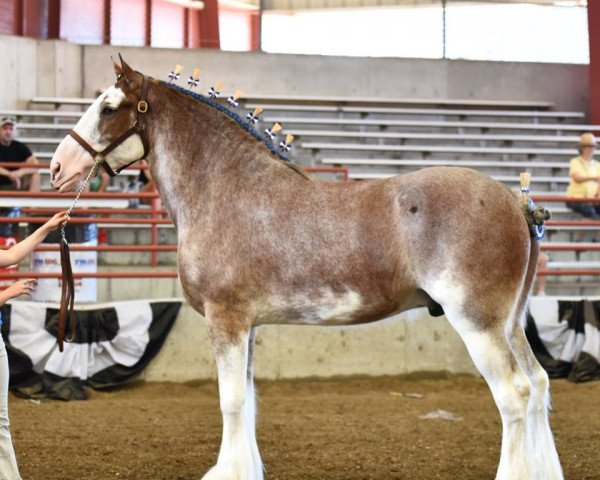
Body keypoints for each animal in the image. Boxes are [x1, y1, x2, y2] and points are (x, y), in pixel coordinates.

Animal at [50, 60, 564, 480]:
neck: (223, 189)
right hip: (510, 324)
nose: (57, 167)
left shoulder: (225, 319)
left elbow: (230, 401)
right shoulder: (248, 326)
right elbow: (248, 401)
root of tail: (516, 204)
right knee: (539, 384)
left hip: (478, 324)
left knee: (514, 395)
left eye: (108, 108)